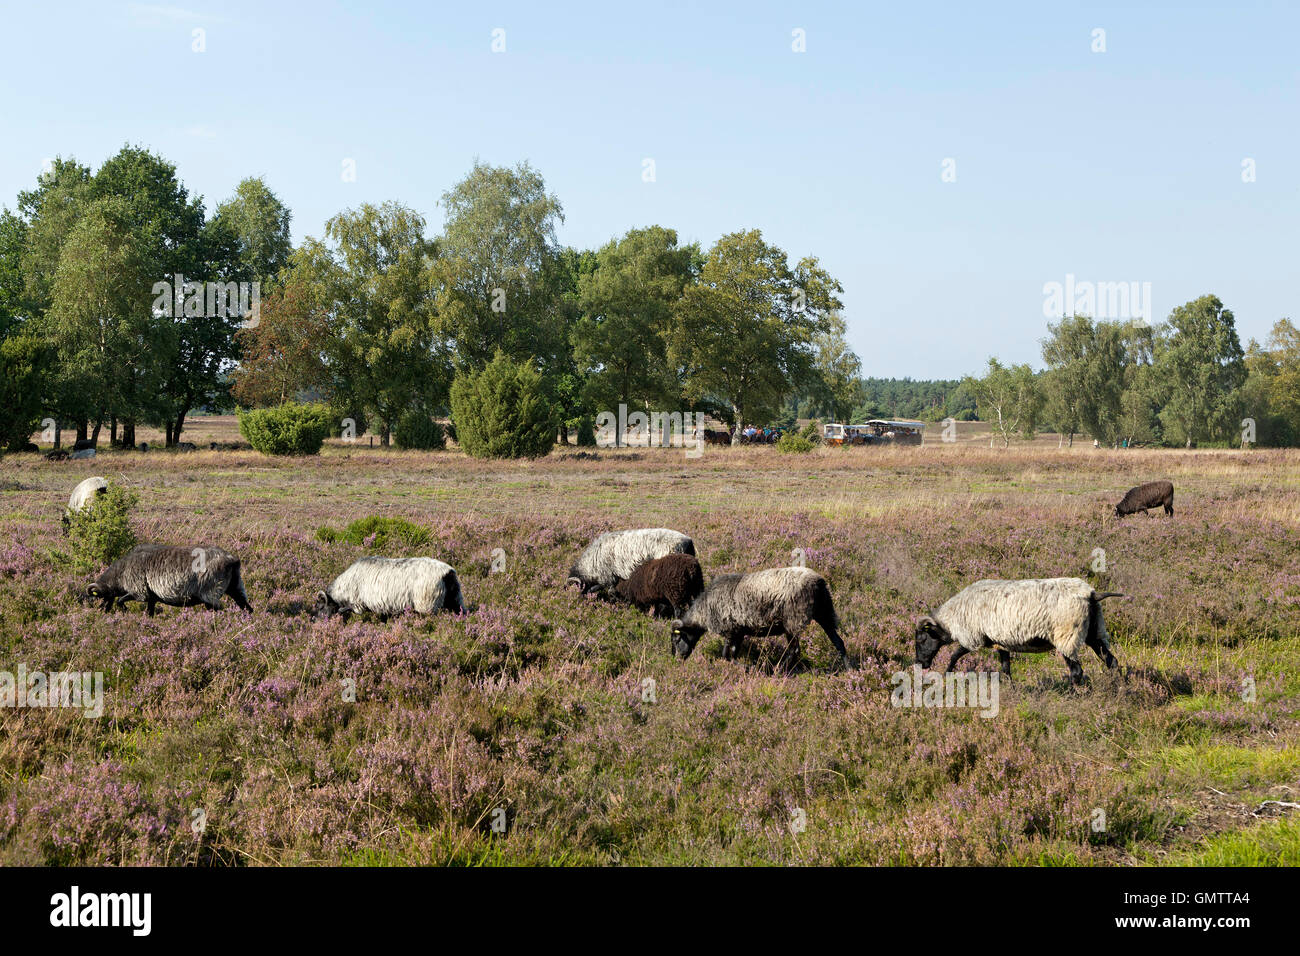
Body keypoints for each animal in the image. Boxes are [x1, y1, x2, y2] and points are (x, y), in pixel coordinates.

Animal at [87, 541, 252, 616]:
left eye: (104, 596)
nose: (101, 611)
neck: (121, 572)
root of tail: (232, 560)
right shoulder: (151, 598)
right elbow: (150, 613)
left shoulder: (139, 593)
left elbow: (120, 600)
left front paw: (125, 610)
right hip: (236, 587)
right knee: (247, 607)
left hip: (210, 594)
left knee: (218, 611)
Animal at [313, 556, 465, 624]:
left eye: (320, 607)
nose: (314, 622)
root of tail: (448, 572)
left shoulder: (358, 604)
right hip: (455, 598)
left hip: (428, 604)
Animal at [670, 567, 852, 671]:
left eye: (677, 639)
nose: (677, 661)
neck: (703, 611)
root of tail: (818, 581)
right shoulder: (739, 631)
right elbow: (733, 654)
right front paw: (746, 667)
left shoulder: (730, 630)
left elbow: (725, 655)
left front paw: (748, 668)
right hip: (824, 612)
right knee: (838, 641)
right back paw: (850, 669)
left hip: (792, 620)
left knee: (794, 650)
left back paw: (778, 670)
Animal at [915, 574, 1128, 686]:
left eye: (922, 639)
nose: (920, 664)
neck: (952, 617)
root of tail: (1091, 594)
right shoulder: (1000, 642)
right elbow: (1005, 667)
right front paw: (1011, 687)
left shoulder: (973, 637)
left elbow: (955, 655)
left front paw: (945, 675)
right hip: (1095, 631)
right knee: (1112, 661)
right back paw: (1120, 689)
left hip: (1067, 635)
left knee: (1077, 671)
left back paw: (1072, 694)